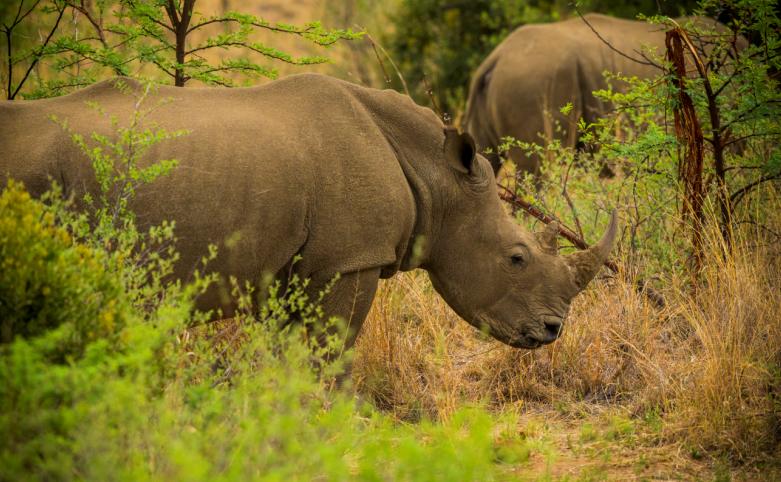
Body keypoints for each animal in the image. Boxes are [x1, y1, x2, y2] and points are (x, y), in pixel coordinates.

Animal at [0, 74, 617, 350]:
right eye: (516, 258)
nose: (554, 331)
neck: (438, 178)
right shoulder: (348, 260)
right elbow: (330, 355)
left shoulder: (292, 270)